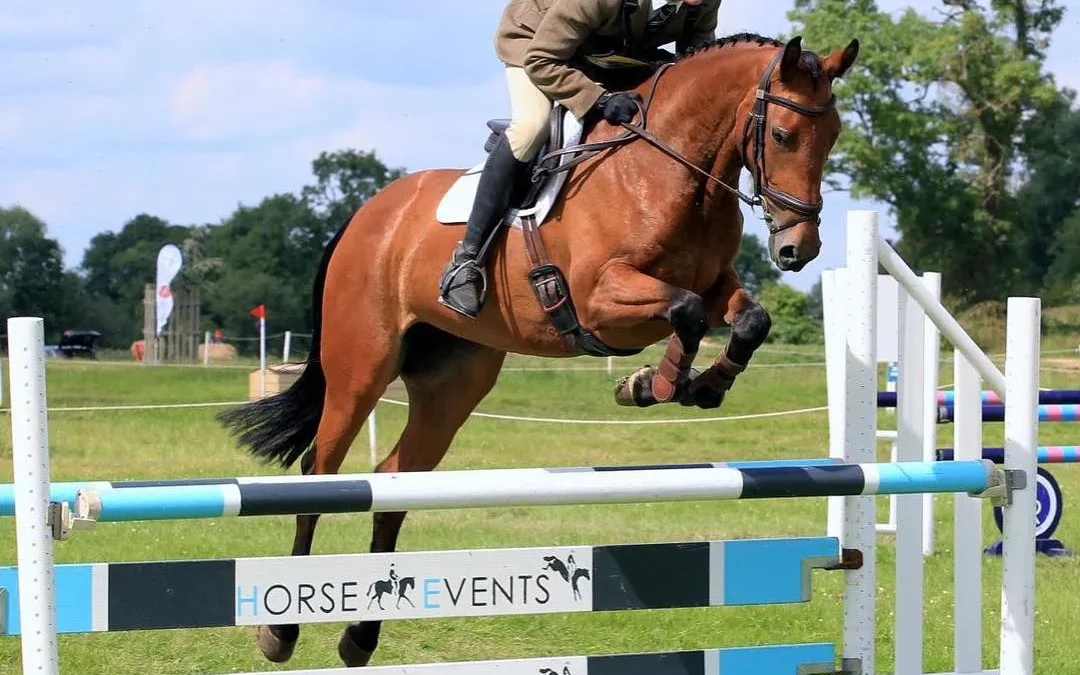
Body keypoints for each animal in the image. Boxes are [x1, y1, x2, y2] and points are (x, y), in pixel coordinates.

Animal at [217, 30, 859, 665]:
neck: (670, 171)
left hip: (453, 384)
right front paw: (652, 383)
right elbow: (686, 311)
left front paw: (694, 386)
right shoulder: (601, 299)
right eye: (782, 135)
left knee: (395, 480)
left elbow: (749, 319)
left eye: (833, 136)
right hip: (362, 366)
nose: (798, 249)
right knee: (320, 473)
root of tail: (366, 215)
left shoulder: (715, 283)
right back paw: (282, 631)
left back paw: (360, 637)